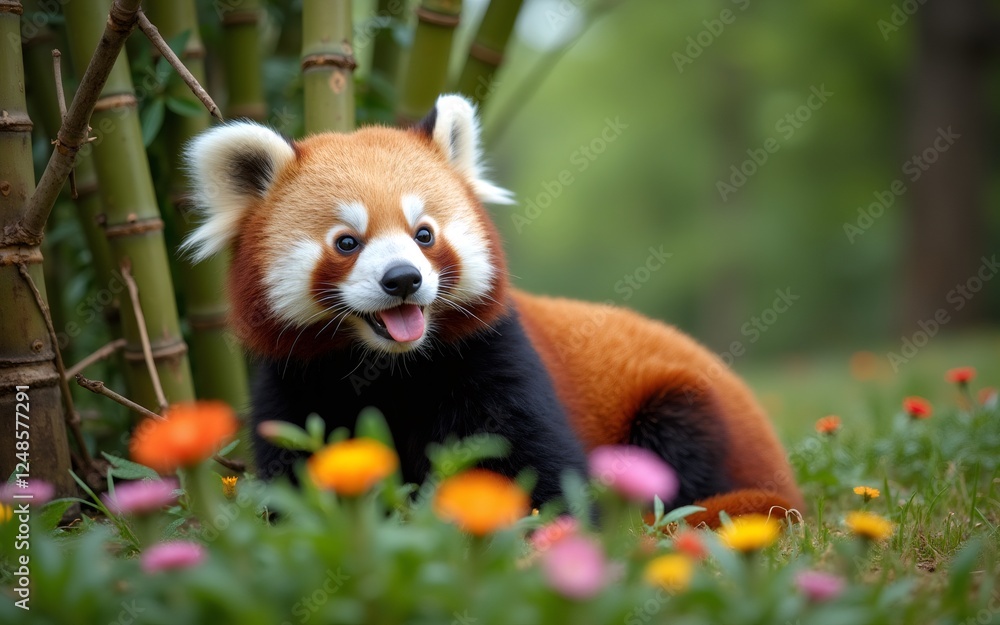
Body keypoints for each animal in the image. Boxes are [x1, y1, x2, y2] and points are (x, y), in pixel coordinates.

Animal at [183, 94, 803, 526]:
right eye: (347, 242)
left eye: (424, 234)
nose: (403, 279)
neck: (393, 367)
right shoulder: (296, 381)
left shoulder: (496, 357)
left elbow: (539, 470)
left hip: (685, 406)